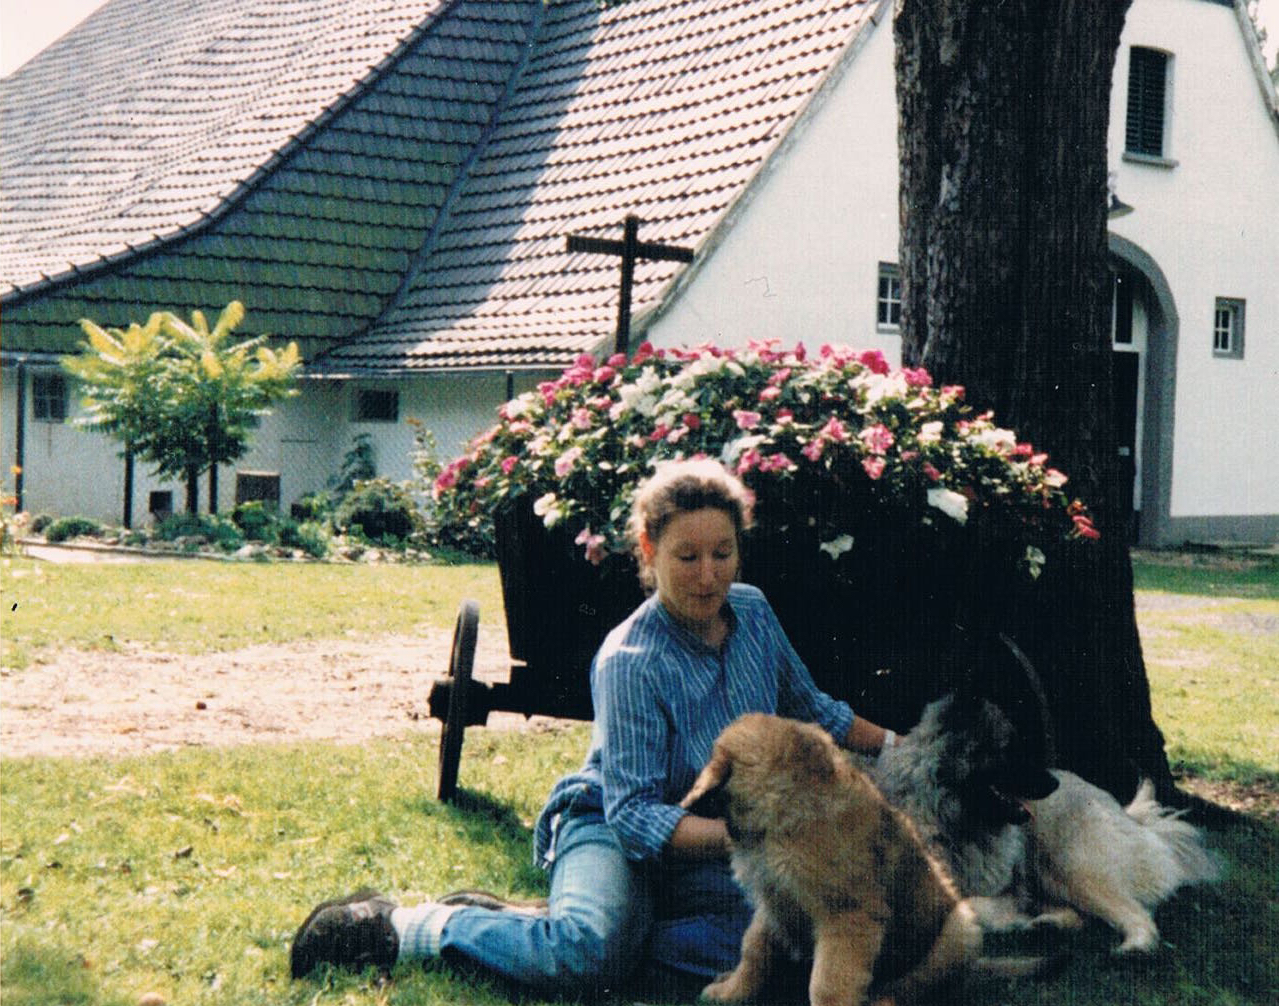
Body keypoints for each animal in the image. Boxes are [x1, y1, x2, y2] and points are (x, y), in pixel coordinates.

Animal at [685, 715, 982, 1006]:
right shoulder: (772, 898)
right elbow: (753, 948)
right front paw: (732, 990)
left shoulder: (844, 913)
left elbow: (827, 981)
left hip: (959, 928)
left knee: (911, 984)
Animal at [869, 695, 1217, 956]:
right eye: (1010, 749)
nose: (1053, 783)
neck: (951, 821)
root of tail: (1131, 816)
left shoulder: (1005, 892)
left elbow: (965, 904)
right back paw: (1044, 925)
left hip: (1070, 866)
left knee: (1137, 914)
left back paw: (1134, 947)